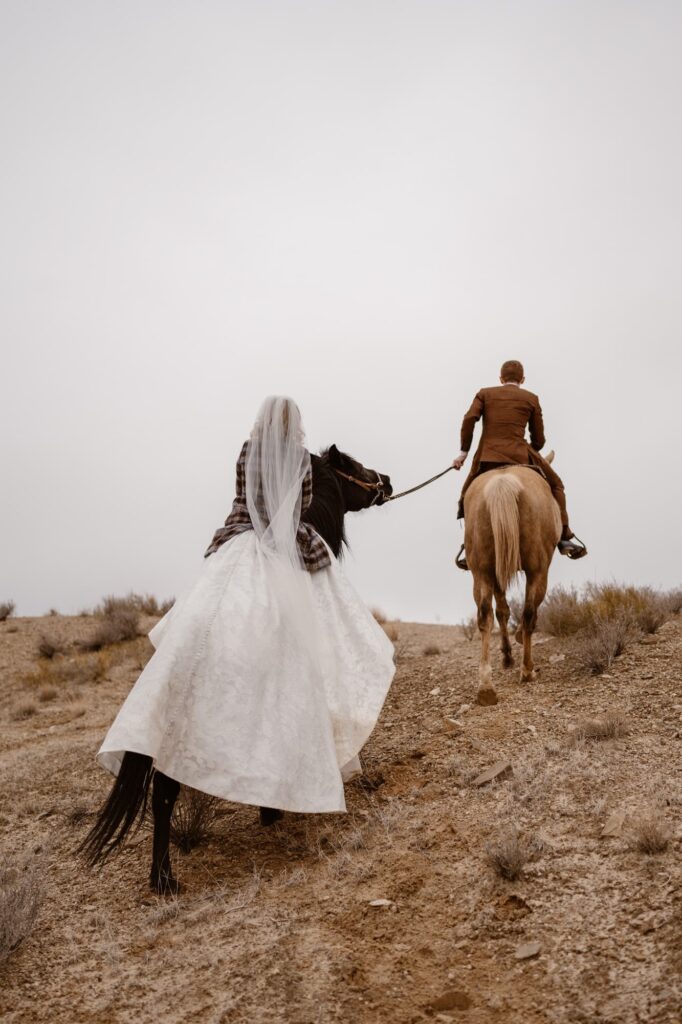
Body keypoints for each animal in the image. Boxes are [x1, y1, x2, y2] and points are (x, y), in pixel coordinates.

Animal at [79, 444, 391, 892]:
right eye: (352, 464)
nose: (387, 481)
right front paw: (273, 813)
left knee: (161, 794)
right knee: (164, 796)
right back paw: (165, 879)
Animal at [464, 464, 561, 704]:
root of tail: (503, 481)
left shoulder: (496, 572)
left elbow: (502, 612)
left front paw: (507, 656)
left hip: (482, 571)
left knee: (485, 616)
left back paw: (486, 687)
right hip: (538, 570)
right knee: (528, 613)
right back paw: (526, 670)